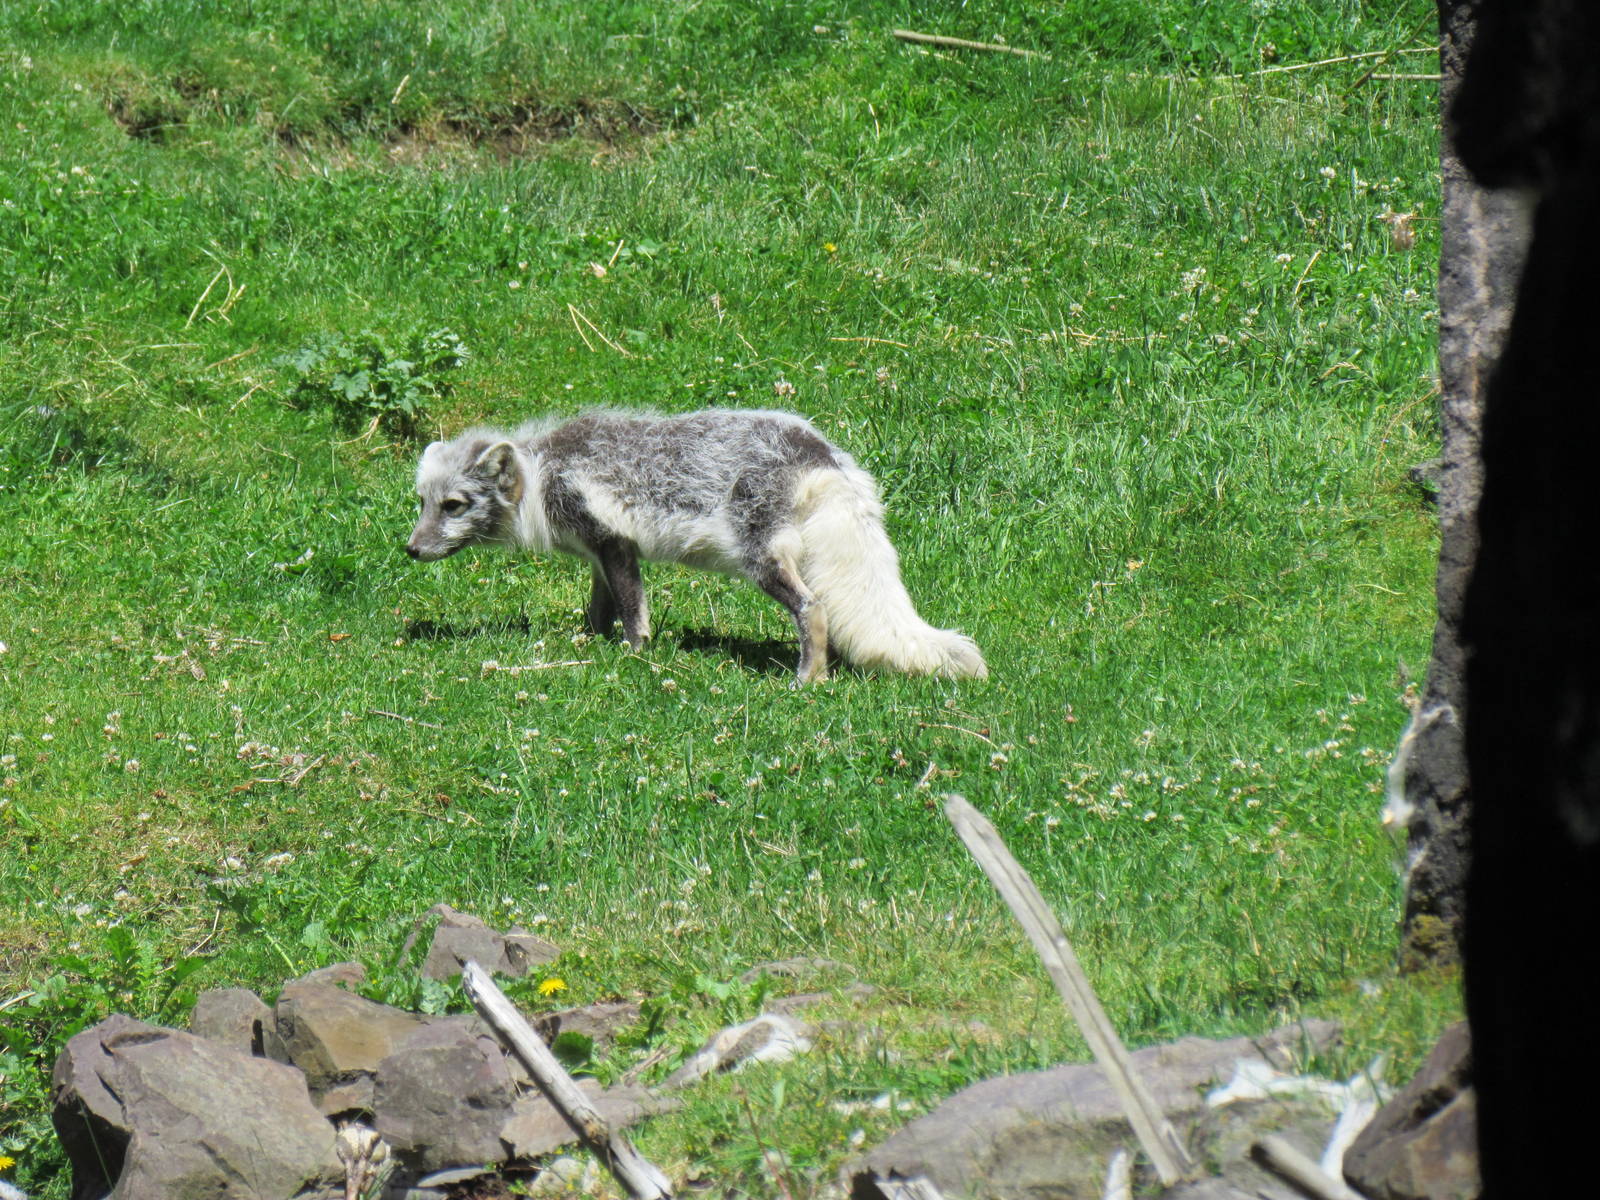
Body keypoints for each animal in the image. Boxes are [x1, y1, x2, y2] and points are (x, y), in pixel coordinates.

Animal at [405, 408, 987, 684]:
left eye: (454, 505)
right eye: (422, 502)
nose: (411, 550)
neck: (544, 474)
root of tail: (821, 451)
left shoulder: (616, 545)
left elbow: (634, 616)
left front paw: (635, 660)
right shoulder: (598, 556)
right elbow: (598, 611)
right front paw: (589, 646)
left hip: (761, 559)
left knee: (813, 608)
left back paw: (808, 679)